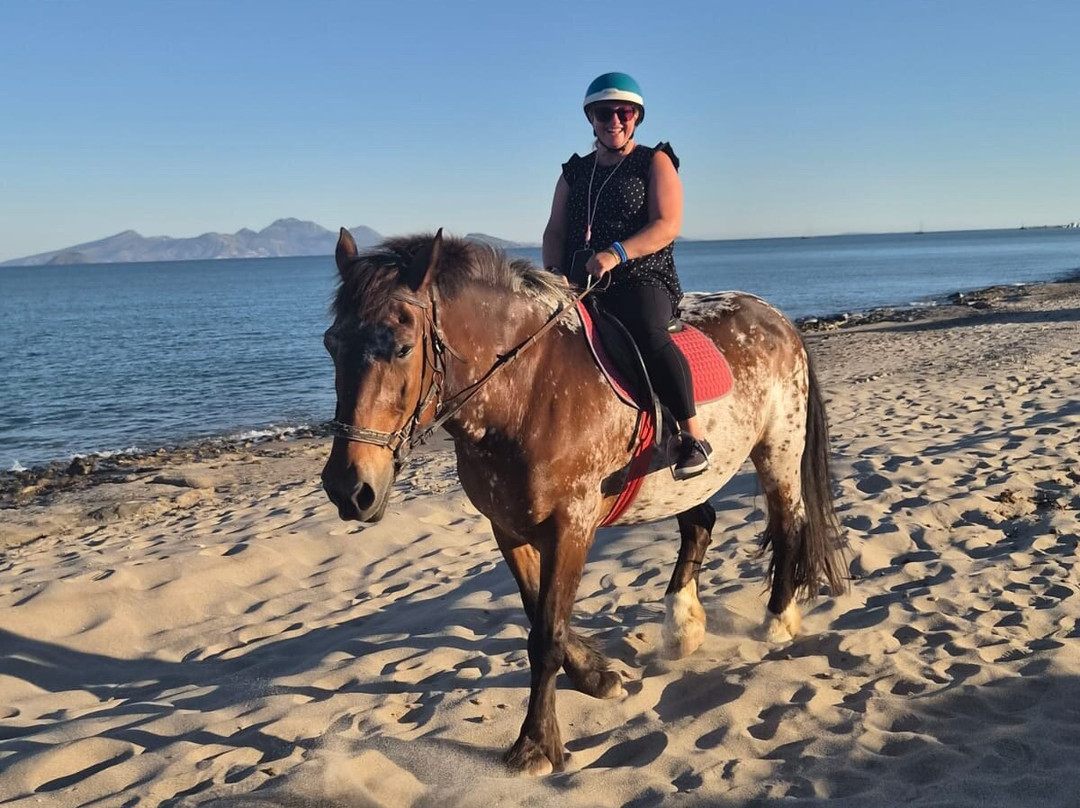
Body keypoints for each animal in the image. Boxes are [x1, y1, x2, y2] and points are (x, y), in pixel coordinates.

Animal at [321, 229, 847, 776]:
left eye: (402, 348)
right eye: (331, 344)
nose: (348, 488)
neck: (527, 392)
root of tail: (776, 317)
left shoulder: (571, 527)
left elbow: (547, 635)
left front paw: (536, 743)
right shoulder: (508, 528)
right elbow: (537, 614)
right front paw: (596, 675)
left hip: (778, 449)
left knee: (788, 526)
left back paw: (777, 621)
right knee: (700, 523)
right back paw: (682, 626)